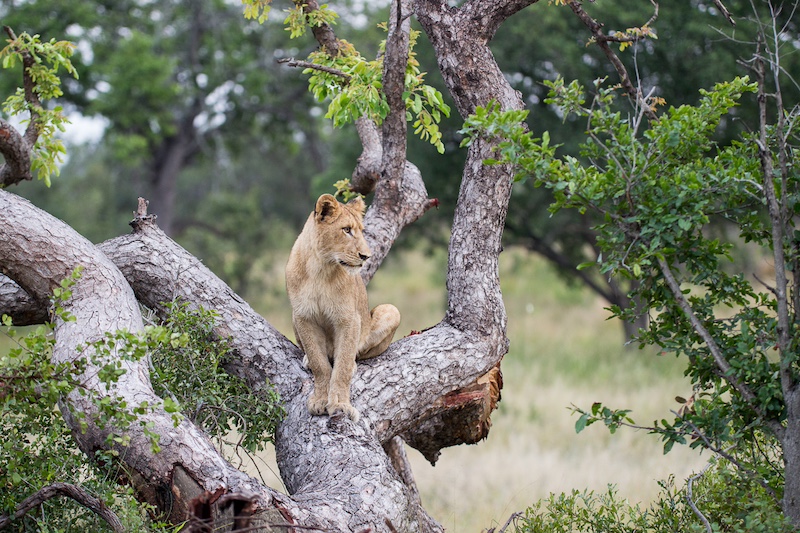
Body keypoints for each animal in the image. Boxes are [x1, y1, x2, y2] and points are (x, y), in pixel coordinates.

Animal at [285, 194, 401, 422]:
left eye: (361, 230)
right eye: (346, 229)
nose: (366, 256)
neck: (320, 268)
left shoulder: (349, 319)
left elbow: (343, 366)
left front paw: (340, 405)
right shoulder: (303, 317)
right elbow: (320, 364)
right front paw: (320, 400)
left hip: (391, 311)